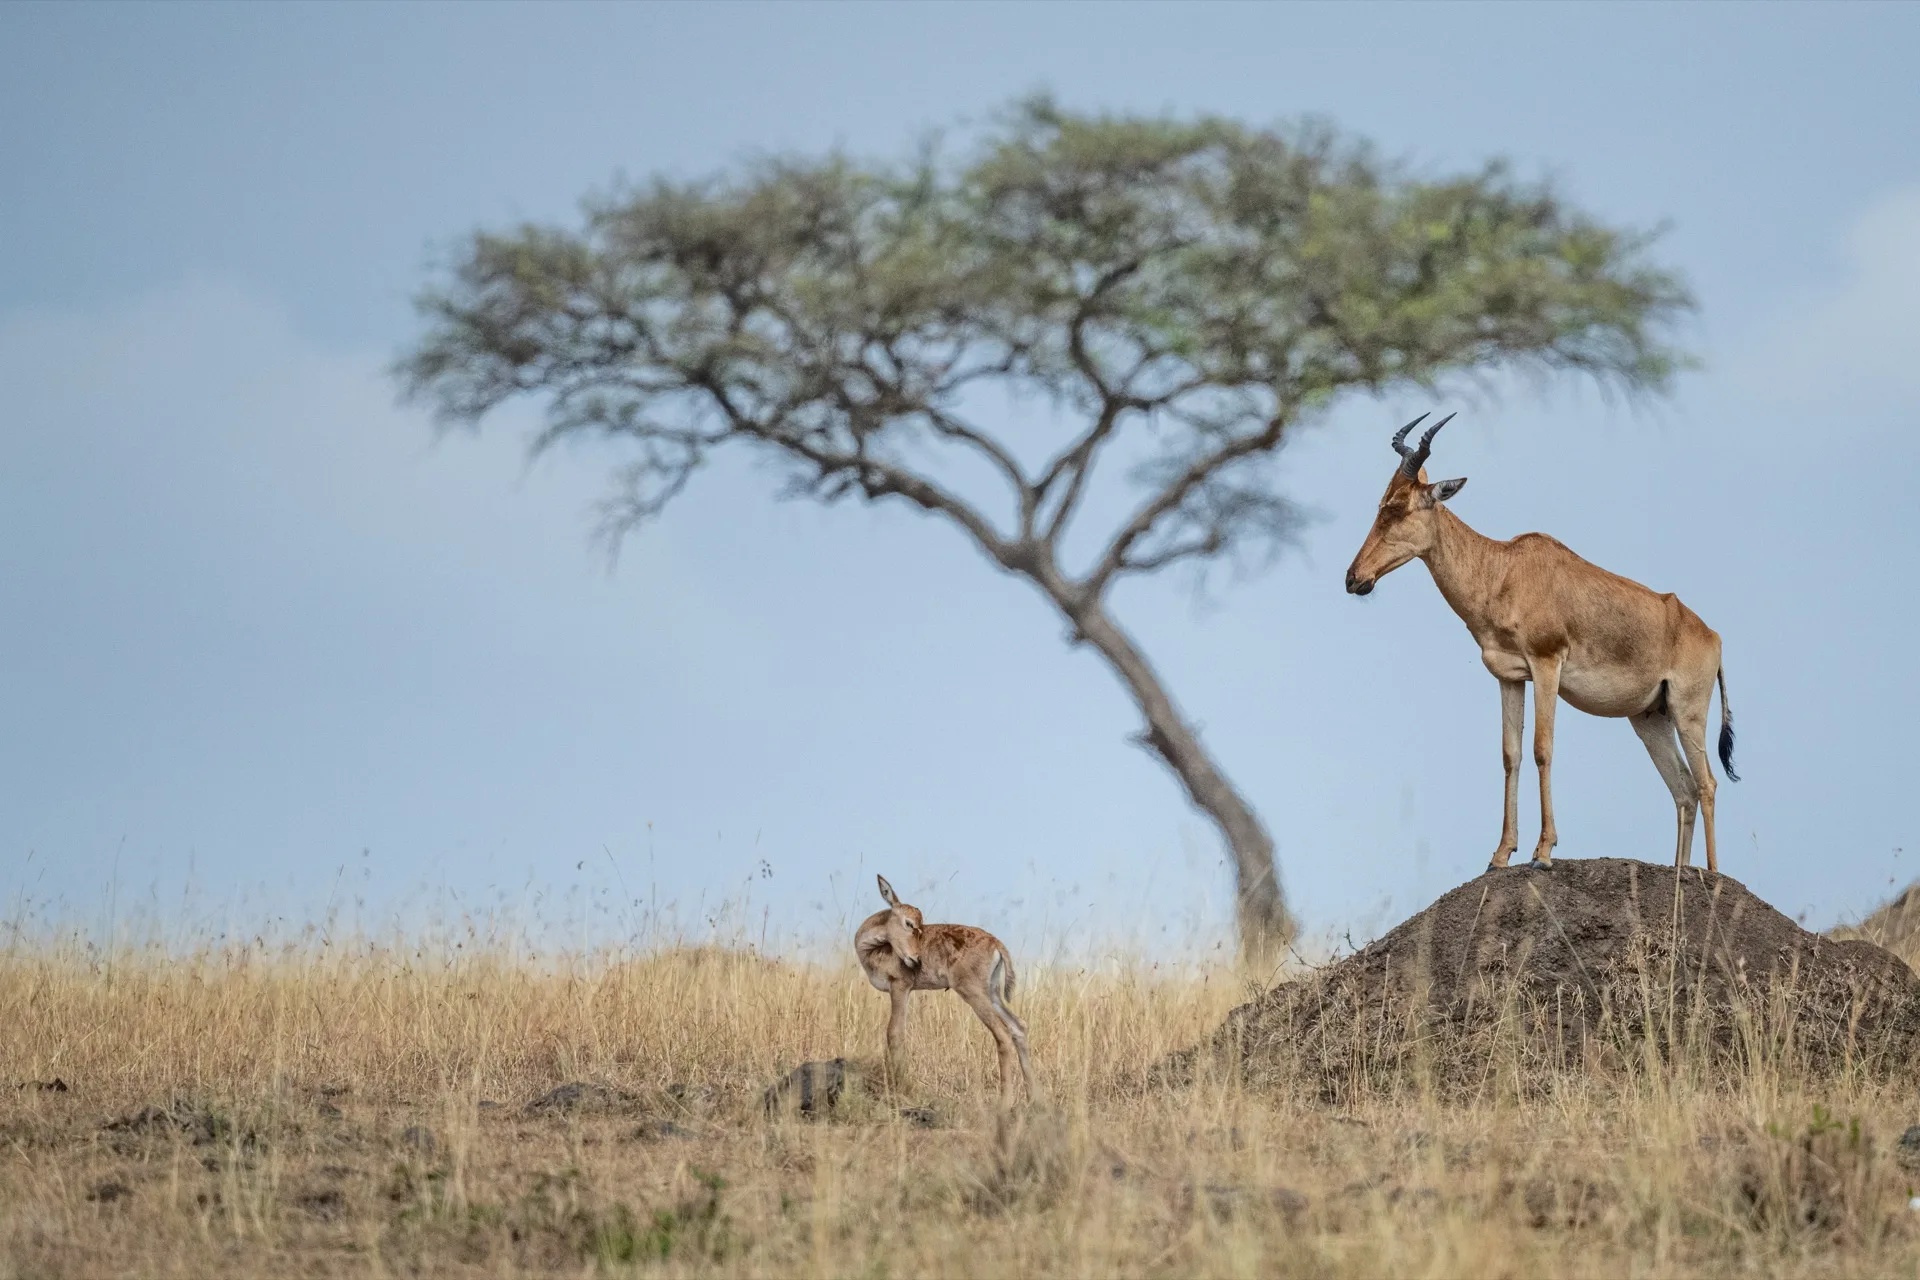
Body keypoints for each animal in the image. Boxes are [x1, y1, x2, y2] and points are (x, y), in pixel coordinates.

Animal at [854, 876, 1034, 1101]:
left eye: (917, 925)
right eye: (909, 923)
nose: (916, 961)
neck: (875, 948)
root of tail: (996, 944)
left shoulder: (899, 987)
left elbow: (894, 1033)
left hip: (973, 993)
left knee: (1002, 1032)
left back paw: (1004, 1102)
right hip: (992, 994)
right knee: (1018, 1026)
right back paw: (1035, 1099)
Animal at [1344, 414, 1738, 873]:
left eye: (1400, 508)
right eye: (1381, 504)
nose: (1354, 578)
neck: (1505, 569)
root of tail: (1712, 636)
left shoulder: (1547, 665)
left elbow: (1542, 748)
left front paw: (1543, 853)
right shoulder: (1509, 676)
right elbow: (1510, 754)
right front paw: (1500, 854)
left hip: (1687, 710)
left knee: (1707, 783)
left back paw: (1712, 875)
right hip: (1649, 717)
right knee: (1683, 790)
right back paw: (1680, 871)